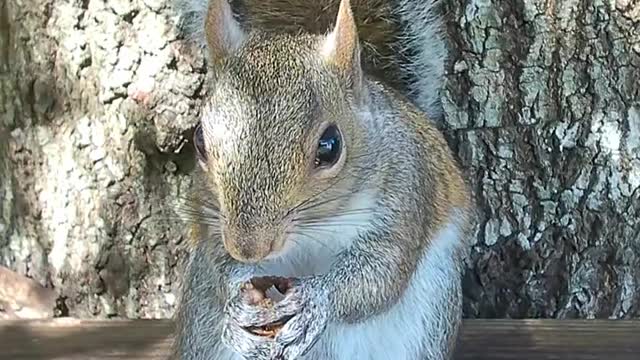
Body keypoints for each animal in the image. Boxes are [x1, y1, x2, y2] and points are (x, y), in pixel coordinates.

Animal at [170, 0, 476, 360]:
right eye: (200, 140)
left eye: (330, 146)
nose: (248, 249)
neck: (314, 228)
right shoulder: (210, 218)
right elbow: (219, 262)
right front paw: (236, 303)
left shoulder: (407, 192)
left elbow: (380, 274)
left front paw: (314, 299)